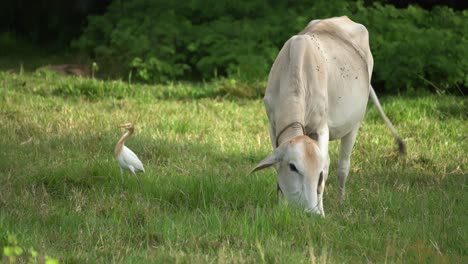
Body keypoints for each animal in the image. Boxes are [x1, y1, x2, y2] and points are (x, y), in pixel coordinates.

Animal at [252, 16, 402, 217]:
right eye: (293, 167)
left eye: (318, 174)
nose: (310, 213)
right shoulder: (273, 124)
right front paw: (281, 207)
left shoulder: (321, 128)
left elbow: (326, 168)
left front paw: (321, 212)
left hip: (354, 124)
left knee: (343, 166)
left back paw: (340, 201)